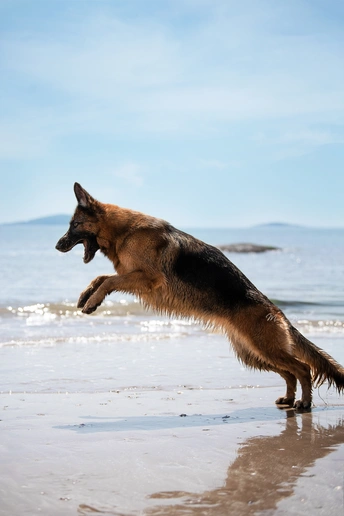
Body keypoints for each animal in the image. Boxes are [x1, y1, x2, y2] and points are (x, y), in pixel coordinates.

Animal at [55, 183, 344, 410]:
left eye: (74, 225)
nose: (57, 245)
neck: (124, 232)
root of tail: (278, 312)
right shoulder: (133, 276)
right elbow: (100, 278)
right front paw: (86, 297)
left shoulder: (146, 278)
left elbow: (109, 279)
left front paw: (93, 301)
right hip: (254, 354)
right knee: (290, 373)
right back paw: (289, 399)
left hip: (264, 349)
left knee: (302, 368)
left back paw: (304, 403)